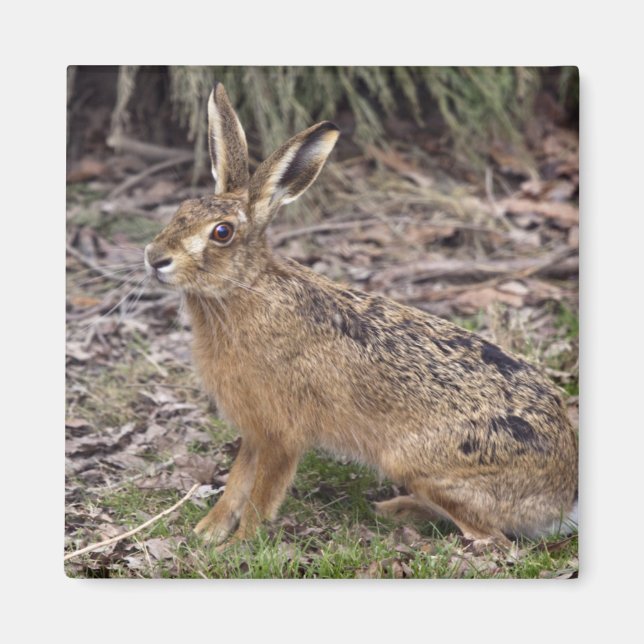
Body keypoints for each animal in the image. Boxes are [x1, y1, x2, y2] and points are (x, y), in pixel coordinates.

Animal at [143, 82, 578, 548]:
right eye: (182, 209)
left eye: (222, 232)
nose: (154, 257)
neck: (245, 289)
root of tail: (559, 496)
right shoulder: (255, 430)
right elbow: (237, 481)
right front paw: (209, 531)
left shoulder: (282, 433)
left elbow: (262, 491)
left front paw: (241, 542)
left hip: (420, 463)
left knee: (492, 538)